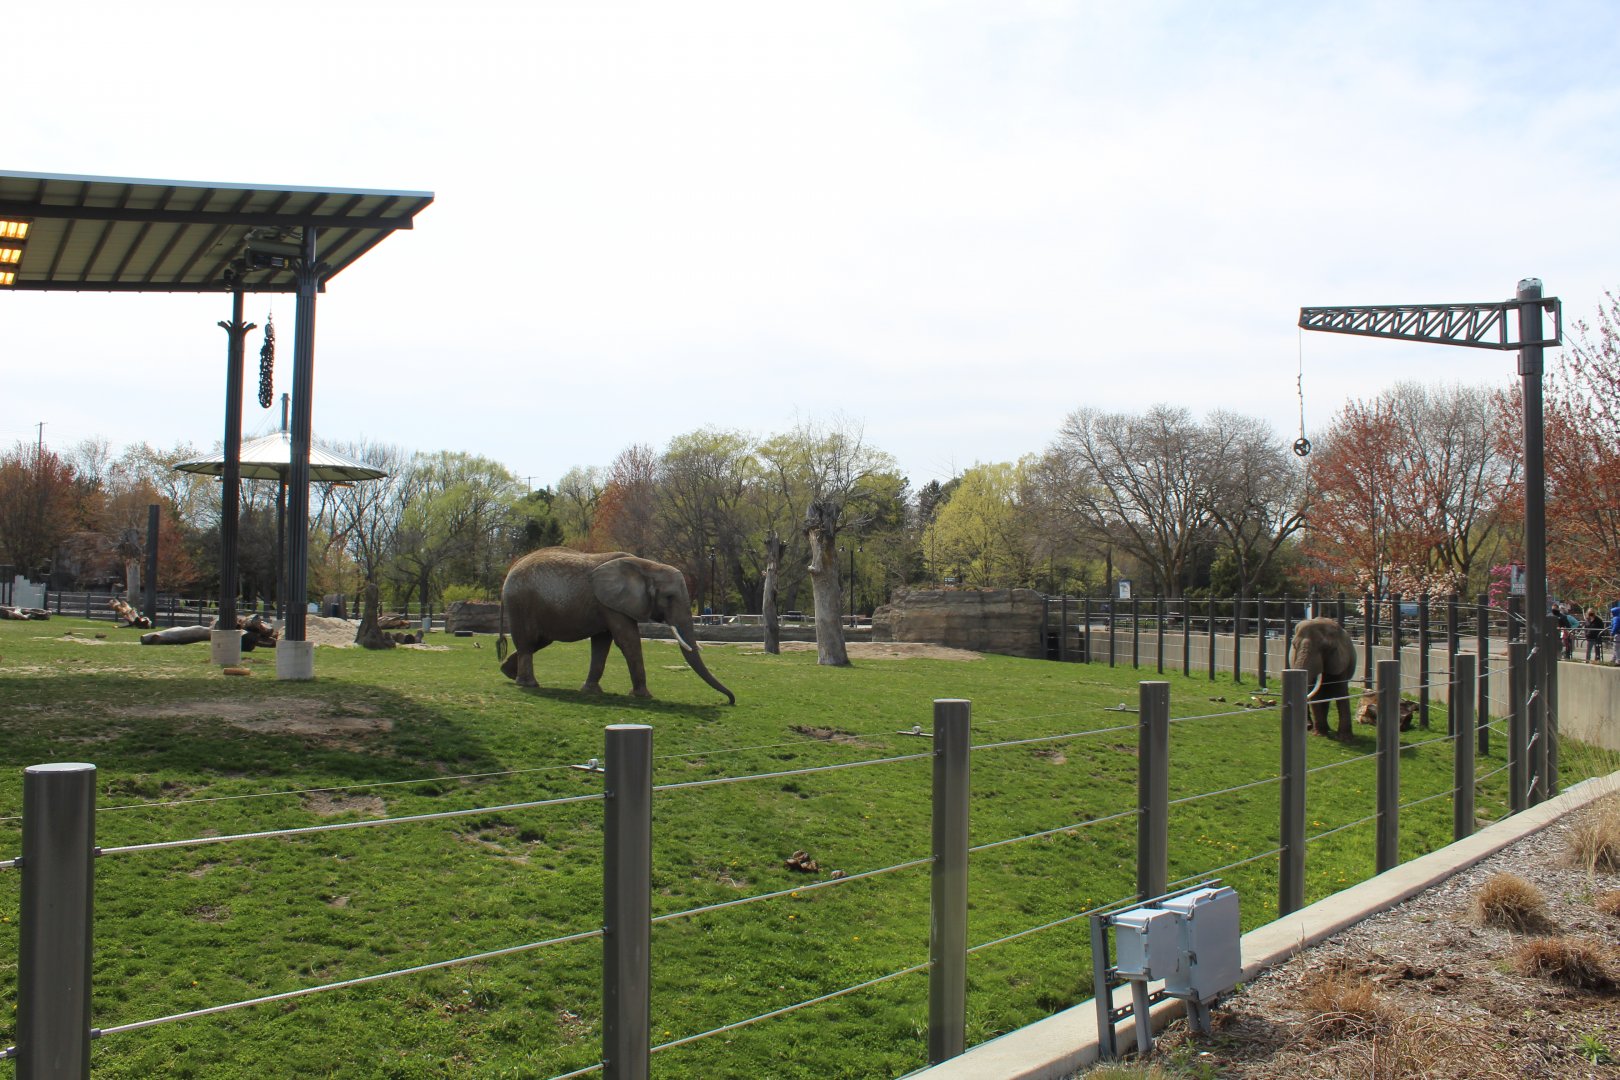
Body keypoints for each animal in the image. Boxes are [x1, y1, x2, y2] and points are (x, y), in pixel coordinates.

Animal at [496, 547, 735, 705]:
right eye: (669, 597)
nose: (730, 701)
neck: (647, 565)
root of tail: (511, 570)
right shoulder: (611, 605)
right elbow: (628, 640)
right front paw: (643, 696)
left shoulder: (607, 605)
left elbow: (602, 643)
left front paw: (591, 692)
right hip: (521, 603)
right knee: (528, 642)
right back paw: (528, 684)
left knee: (538, 641)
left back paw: (508, 674)